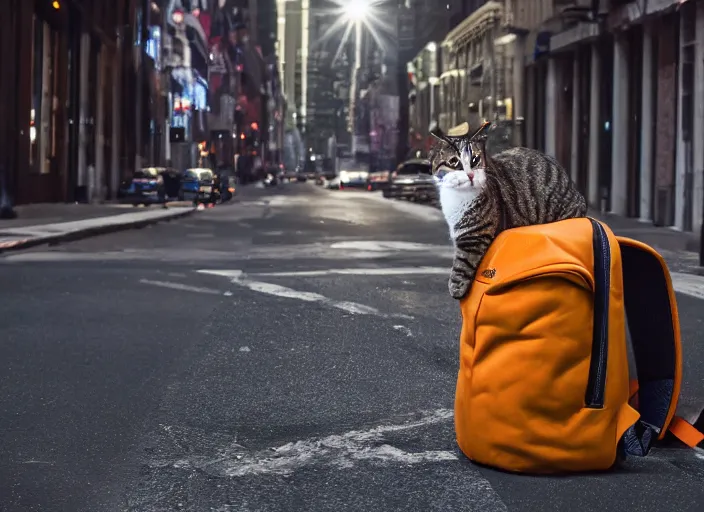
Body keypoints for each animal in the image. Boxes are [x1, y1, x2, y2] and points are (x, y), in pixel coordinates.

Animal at [428, 120, 588, 300]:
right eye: (454, 162)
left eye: (475, 159)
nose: (470, 175)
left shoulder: (476, 234)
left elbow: (463, 262)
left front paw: (456, 287)